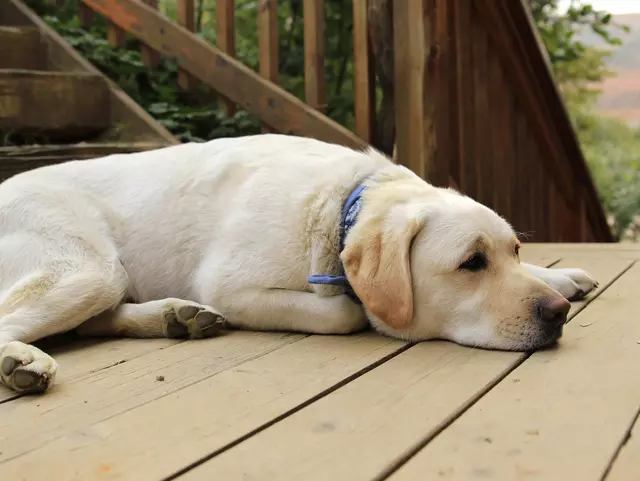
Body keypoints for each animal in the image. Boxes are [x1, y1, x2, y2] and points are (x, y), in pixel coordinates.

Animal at [0, 133, 596, 392]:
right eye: (471, 263)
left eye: (512, 250)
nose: (558, 314)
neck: (342, 207)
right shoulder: (230, 286)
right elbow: (348, 310)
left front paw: (561, 275)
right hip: (87, 269)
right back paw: (22, 362)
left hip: (104, 277)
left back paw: (175, 316)